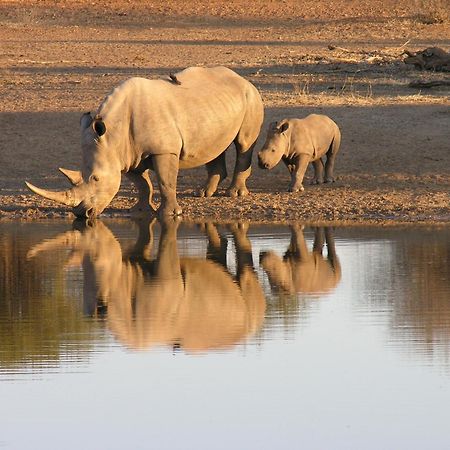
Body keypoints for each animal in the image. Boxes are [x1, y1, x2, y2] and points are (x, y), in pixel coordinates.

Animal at [25, 66, 264, 218]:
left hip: (251, 96)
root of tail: (242, 78)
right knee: (215, 145)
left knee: (243, 144)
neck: (112, 135)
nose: (82, 214)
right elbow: (142, 183)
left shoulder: (163, 150)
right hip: (214, 105)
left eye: (96, 178)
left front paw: (170, 214)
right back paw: (203, 193)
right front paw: (139, 211)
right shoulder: (126, 155)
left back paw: (234, 194)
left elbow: (165, 181)